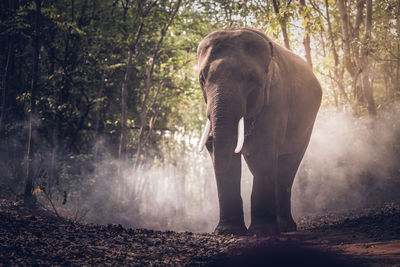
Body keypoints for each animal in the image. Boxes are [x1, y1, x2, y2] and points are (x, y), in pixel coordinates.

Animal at [197, 28, 322, 236]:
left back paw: (285, 227)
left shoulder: (277, 99)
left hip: (307, 124)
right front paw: (228, 232)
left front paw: (261, 232)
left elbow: (264, 151)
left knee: (287, 166)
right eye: (202, 79)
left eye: (251, 79)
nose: (209, 140)